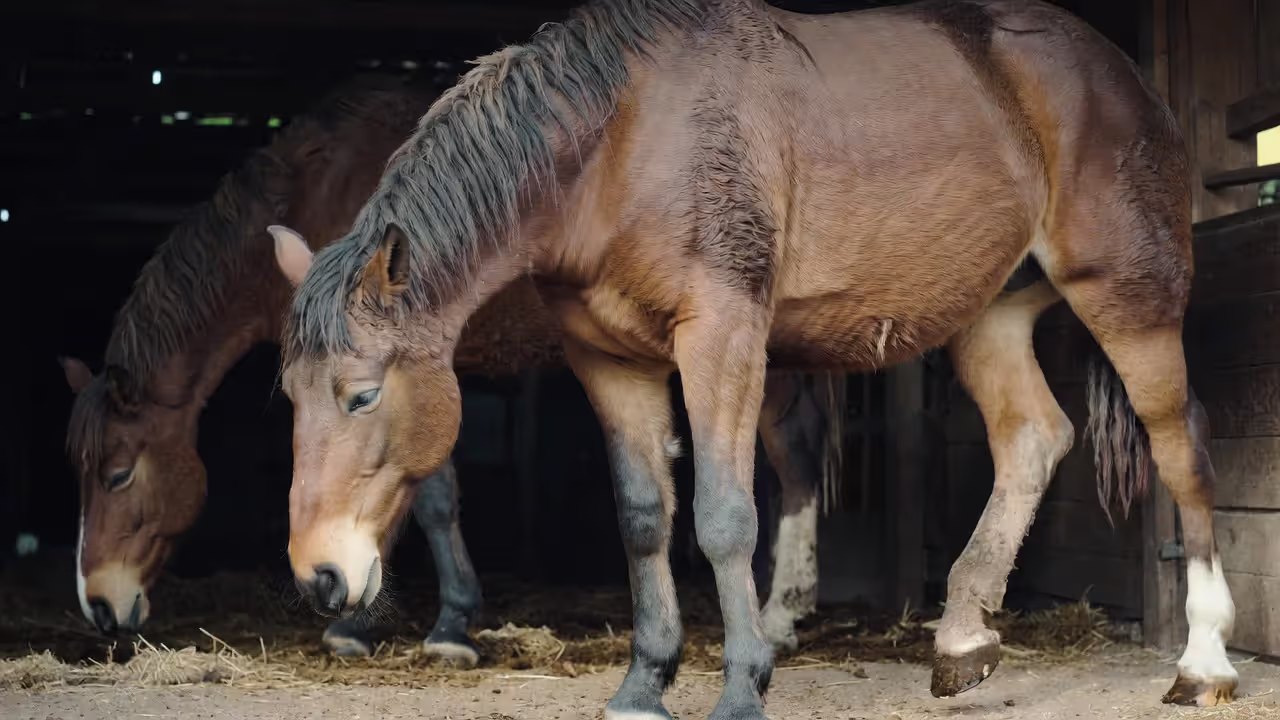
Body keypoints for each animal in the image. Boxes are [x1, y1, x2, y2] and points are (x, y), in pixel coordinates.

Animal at [60, 78, 847, 663]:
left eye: (119, 475)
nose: (97, 604)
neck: (322, 187)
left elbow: (428, 498)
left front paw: (427, 624)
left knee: (790, 452)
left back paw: (780, 615)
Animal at [271, 0, 1239, 716]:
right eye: (289, 398)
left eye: (361, 396)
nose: (319, 577)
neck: (615, 144)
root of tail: (1122, 71)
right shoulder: (606, 360)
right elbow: (644, 519)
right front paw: (644, 683)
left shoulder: (722, 335)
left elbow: (725, 517)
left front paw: (742, 685)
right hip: (992, 319)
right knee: (1034, 438)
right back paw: (964, 637)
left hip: (1130, 296)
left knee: (1181, 447)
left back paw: (1203, 661)